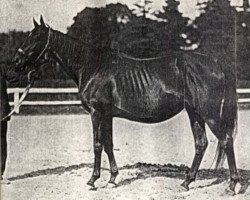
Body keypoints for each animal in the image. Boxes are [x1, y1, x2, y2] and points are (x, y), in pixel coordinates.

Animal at [12, 17, 240, 192]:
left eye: (36, 38)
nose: (16, 63)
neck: (92, 66)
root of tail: (217, 63)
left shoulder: (96, 113)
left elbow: (97, 145)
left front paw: (92, 180)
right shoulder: (107, 115)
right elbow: (108, 144)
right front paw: (112, 179)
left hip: (210, 114)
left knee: (226, 141)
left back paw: (232, 185)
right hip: (194, 112)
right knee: (201, 143)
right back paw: (186, 182)